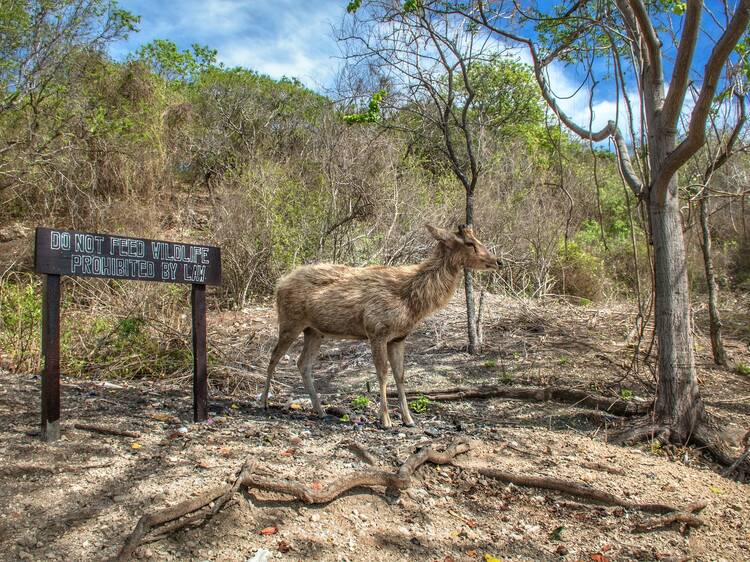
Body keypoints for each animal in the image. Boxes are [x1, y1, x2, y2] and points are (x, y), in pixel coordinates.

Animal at [262, 222, 502, 424]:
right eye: (469, 243)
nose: (498, 261)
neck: (412, 303)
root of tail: (279, 285)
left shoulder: (398, 338)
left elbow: (400, 375)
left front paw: (408, 419)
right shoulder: (377, 330)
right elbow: (382, 373)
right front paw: (385, 419)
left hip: (314, 331)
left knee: (302, 363)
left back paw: (320, 411)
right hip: (290, 321)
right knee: (274, 357)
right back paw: (263, 402)